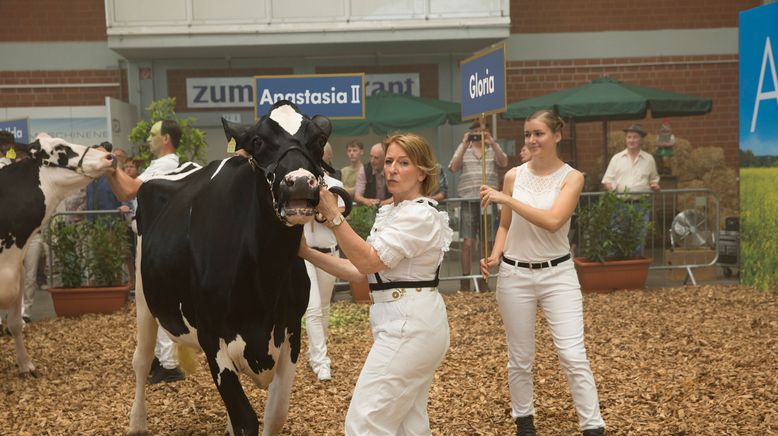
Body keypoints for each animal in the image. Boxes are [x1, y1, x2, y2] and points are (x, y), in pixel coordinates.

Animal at [129, 102, 348, 436]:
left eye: (319, 139)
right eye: (258, 141)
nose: (299, 181)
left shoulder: (290, 333)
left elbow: (275, 415)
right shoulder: (211, 338)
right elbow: (246, 419)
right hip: (144, 297)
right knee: (140, 359)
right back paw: (137, 423)